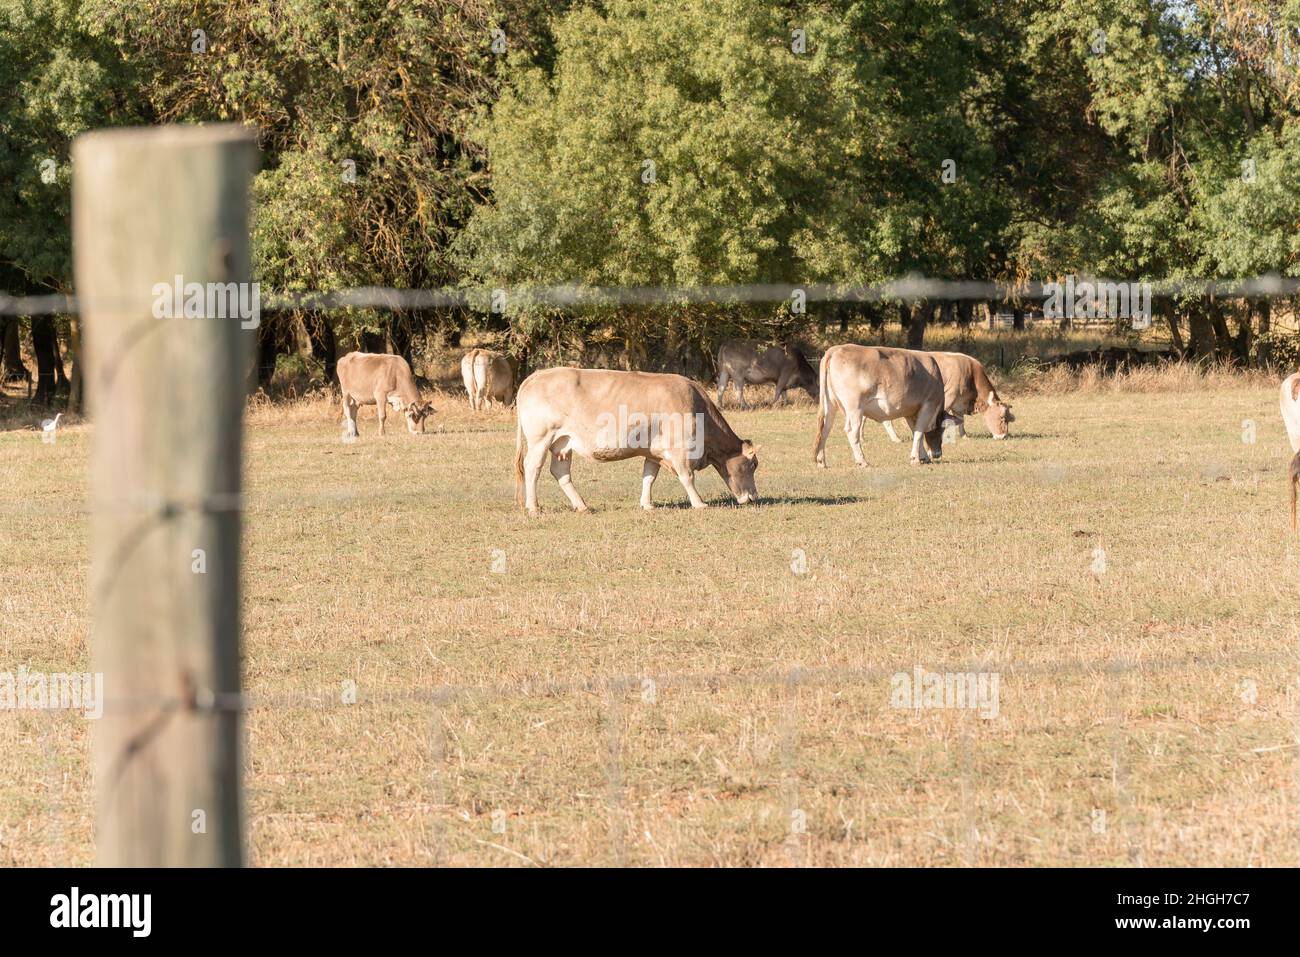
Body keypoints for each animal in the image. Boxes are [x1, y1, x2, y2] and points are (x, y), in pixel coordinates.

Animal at [514, 367, 760, 515]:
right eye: (753, 465)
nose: (753, 497)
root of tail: (536, 375)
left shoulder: (654, 452)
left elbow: (648, 477)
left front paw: (647, 504)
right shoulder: (680, 448)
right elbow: (687, 477)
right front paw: (699, 504)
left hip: (563, 443)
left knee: (561, 472)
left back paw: (581, 505)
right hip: (540, 439)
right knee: (533, 467)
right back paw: (533, 507)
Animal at [813, 344, 957, 467]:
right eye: (943, 430)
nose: (937, 454)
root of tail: (835, 349)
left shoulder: (911, 413)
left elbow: (916, 431)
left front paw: (923, 457)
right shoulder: (928, 405)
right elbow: (919, 432)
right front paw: (916, 459)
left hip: (830, 404)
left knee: (825, 429)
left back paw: (821, 461)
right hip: (854, 408)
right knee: (852, 431)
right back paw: (862, 461)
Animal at [881, 351, 1014, 443]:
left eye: (1009, 418)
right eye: (1002, 417)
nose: (1003, 436)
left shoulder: (959, 403)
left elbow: (961, 420)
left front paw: (965, 436)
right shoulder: (948, 397)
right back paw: (896, 439)